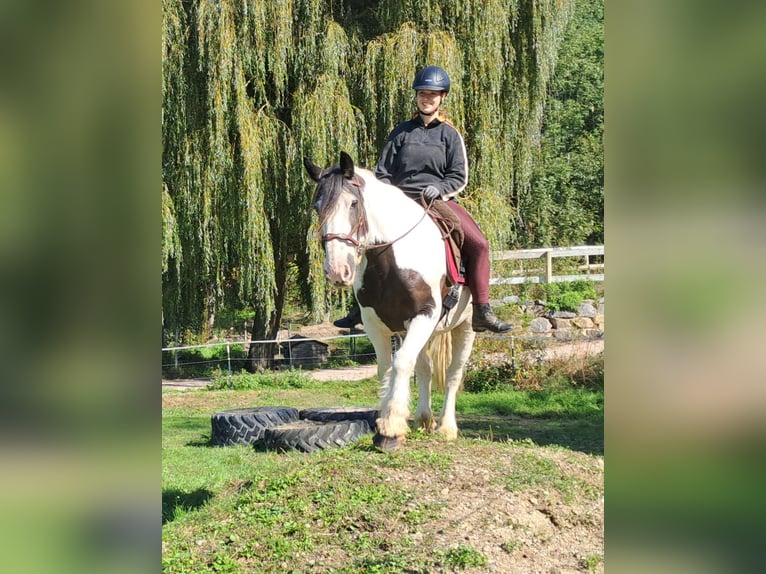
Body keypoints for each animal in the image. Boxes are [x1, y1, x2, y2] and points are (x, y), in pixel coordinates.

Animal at [304, 153, 476, 454]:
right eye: (317, 206)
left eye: (353, 203)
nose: (337, 271)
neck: (392, 261)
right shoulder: (377, 324)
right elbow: (386, 368)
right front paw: (384, 425)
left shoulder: (424, 315)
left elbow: (402, 363)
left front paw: (392, 428)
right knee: (426, 368)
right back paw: (423, 419)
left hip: (464, 327)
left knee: (454, 373)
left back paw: (446, 428)